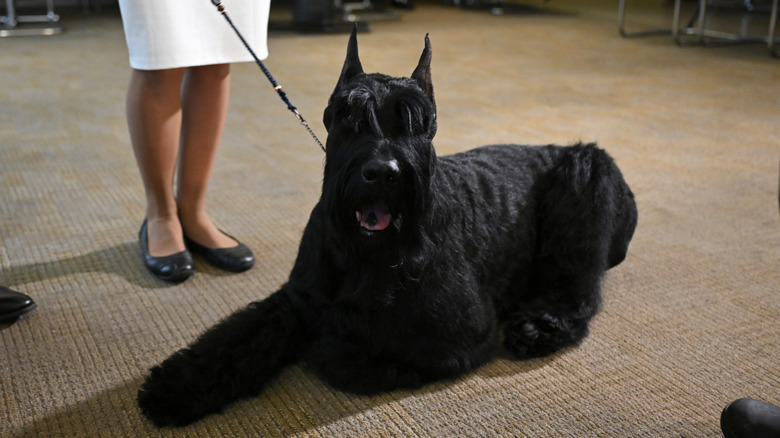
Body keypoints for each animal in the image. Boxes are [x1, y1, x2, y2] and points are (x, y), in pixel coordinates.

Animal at [139, 29, 640, 426]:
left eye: (418, 123)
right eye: (346, 116)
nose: (382, 172)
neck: (365, 251)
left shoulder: (455, 336)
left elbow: (358, 349)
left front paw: (330, 343)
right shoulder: (297, 298)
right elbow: (239, 336)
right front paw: (174, 386)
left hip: (586, 172)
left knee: (578, 290)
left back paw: (538, 325)